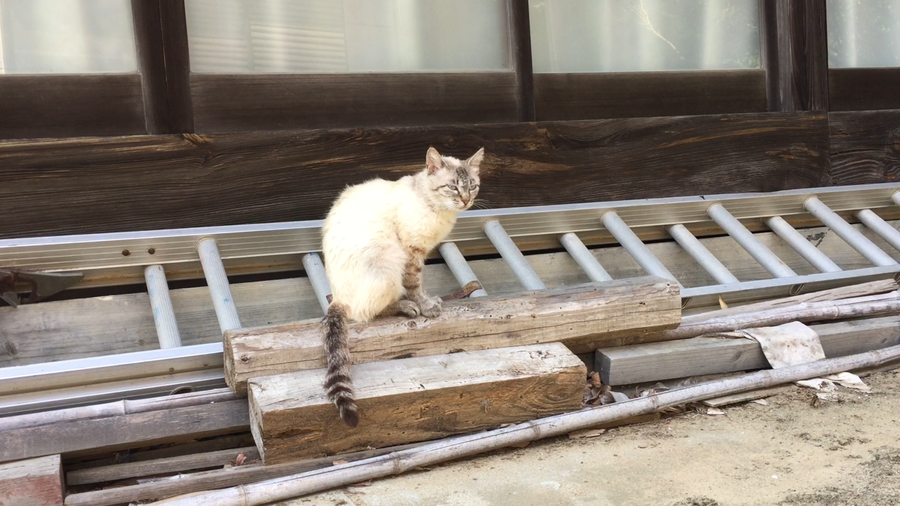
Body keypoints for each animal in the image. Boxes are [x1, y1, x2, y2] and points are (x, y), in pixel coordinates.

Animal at [320, 146, 484, 427]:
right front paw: (425, 306)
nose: (465, 201)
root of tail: (338, 298)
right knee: (363, 312)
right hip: (388, 260)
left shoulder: (422, 252)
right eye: (452, 187)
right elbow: (414, 283)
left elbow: (420, 283)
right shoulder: (411, 250)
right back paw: (406, 307)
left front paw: (430, 300)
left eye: (472, 186)